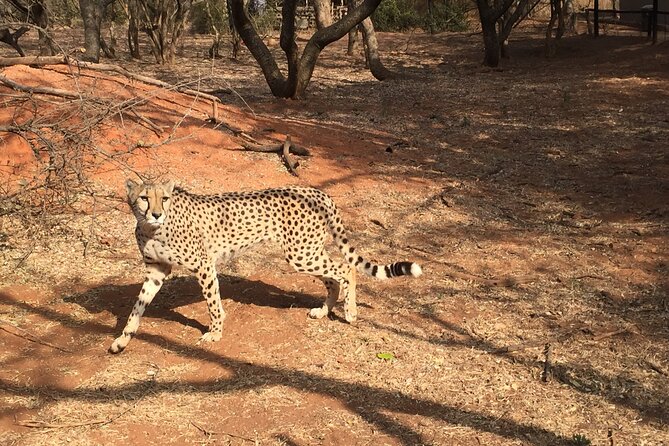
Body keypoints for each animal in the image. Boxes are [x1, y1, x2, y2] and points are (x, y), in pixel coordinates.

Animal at [109, 179, 422, 354]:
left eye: (165, 198)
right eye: (144, 198)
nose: (156, 213)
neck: (151, 228)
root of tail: (316, 191)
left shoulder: (204, 266)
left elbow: (213, 304)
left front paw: (215, 333)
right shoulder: (156, 272)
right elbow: (137, 307)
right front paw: (122, 340)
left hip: (301, 253)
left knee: (346, 269)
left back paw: (350, 312)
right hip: (307, 251)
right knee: (333, 276)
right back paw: (324, 310)